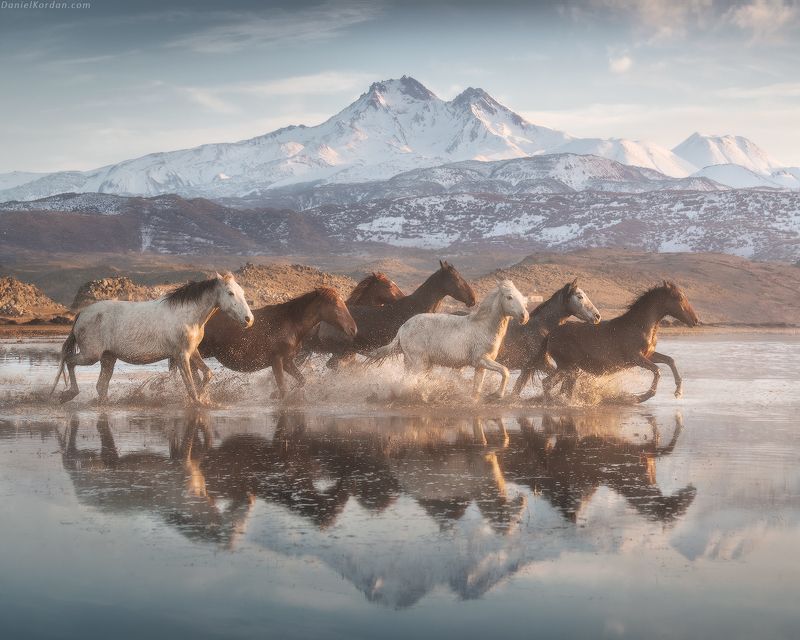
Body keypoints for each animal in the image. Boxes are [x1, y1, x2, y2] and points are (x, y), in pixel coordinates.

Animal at [51, 273, 252, 405]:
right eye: (230, 293)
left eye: (242, 292)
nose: (249, 319)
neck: (187, 315)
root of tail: (82, 314)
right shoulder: (181, 356)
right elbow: (190, 386)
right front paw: (198, 402)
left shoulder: (192, 352)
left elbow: (207, 374)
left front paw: (204, 397)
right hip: (90, 355)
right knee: (69, 361)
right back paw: (68, 394)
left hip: (108, 358)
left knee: (101, 386)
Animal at [195, 287, 357, 399]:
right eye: (335, 304)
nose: (353, 329)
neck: (292, 323)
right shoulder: (277, 360)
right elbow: (283, 388)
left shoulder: (287, 361)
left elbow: (301, 381)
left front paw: (277, 394)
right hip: (202, 350)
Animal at [315, 260, 477, 363]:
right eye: (456, 278)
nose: (473, 299)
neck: (416, 308)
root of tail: (323, 322)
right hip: (341, 353)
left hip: (347, 353)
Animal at [367, 279, 529, 399]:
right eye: (509, 297)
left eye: (522, 296)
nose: (524, 317)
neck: (484, 327)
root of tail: (402, 329)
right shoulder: (481, 359)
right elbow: (505, 371)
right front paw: (497, 395)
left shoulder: (480, 366)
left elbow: (477, 389)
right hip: (419, 363)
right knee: (412, 382)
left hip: (412, 362)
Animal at [542, 281, 699, 403]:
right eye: (679, 298)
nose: (695, 320)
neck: (639, 325)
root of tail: (551, 335)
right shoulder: (636, 358)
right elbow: (657, 370)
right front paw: (642, 396)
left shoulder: (648, 355)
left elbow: (669, 360)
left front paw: (678, 391)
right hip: (567, 367)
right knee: (548, 384)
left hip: (569, 369)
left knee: (556, 386)